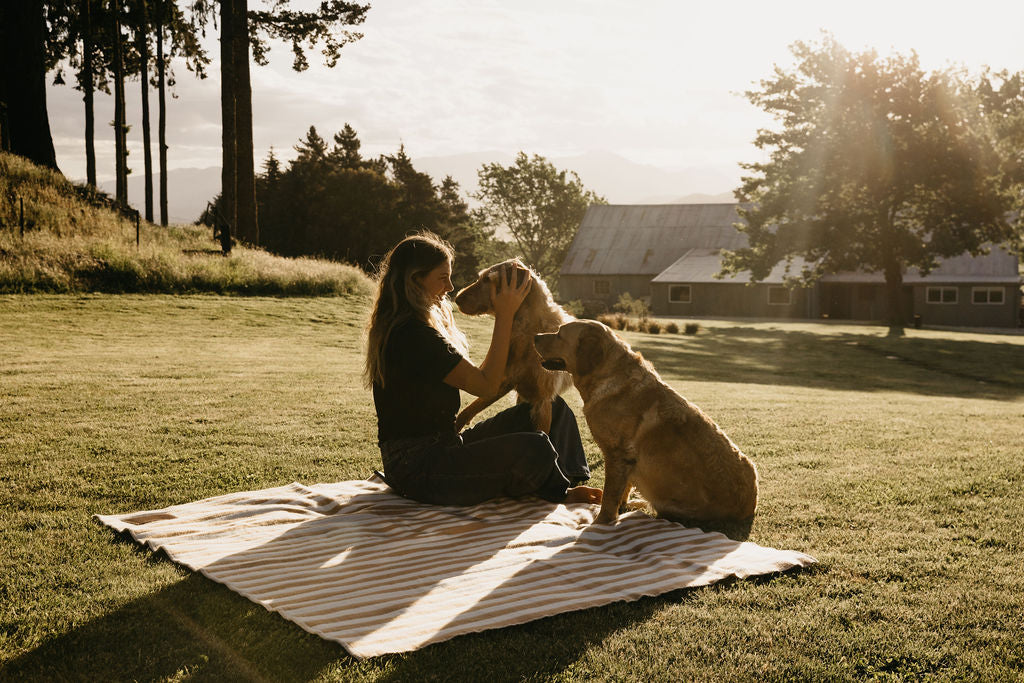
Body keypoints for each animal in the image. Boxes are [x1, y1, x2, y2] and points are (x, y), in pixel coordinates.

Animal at [456, 259, 577, 436]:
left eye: (487, 279)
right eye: (480, 277)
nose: (456, 298)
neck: (527, 331)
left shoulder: (542, 402)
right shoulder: (504, 382)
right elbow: (470, 408)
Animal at [532, 321, 757, 524]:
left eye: (560, 334)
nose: (534, 336)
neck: (608, 375)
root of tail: (750, 507)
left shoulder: (617, 455)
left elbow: (609, 496)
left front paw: (601, 522)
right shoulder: (626, 461)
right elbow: (622, 489)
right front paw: (622, 507)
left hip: (667, 503)